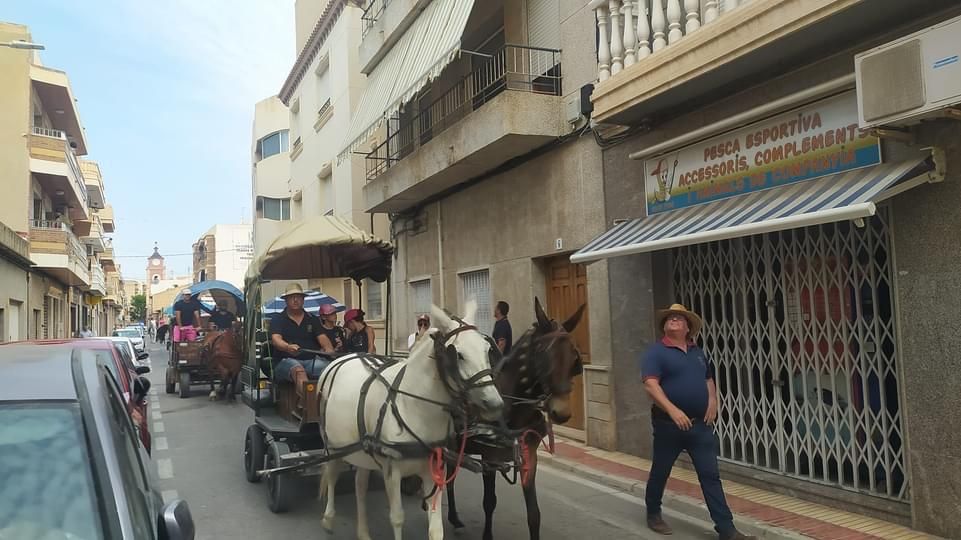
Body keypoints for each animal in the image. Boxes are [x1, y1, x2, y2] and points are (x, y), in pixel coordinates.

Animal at [318, 302, 506, 536]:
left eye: (487, 350)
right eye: (459, 355)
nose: (494, 404)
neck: (415, 406)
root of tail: (342, 358)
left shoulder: (434, 468)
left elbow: (436, 527)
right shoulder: (392, 471)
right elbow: (397, 518)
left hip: (362, 449)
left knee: (360, 485)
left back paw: (363, 532)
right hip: (332, 446)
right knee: (331, 475)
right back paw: (328, 518)